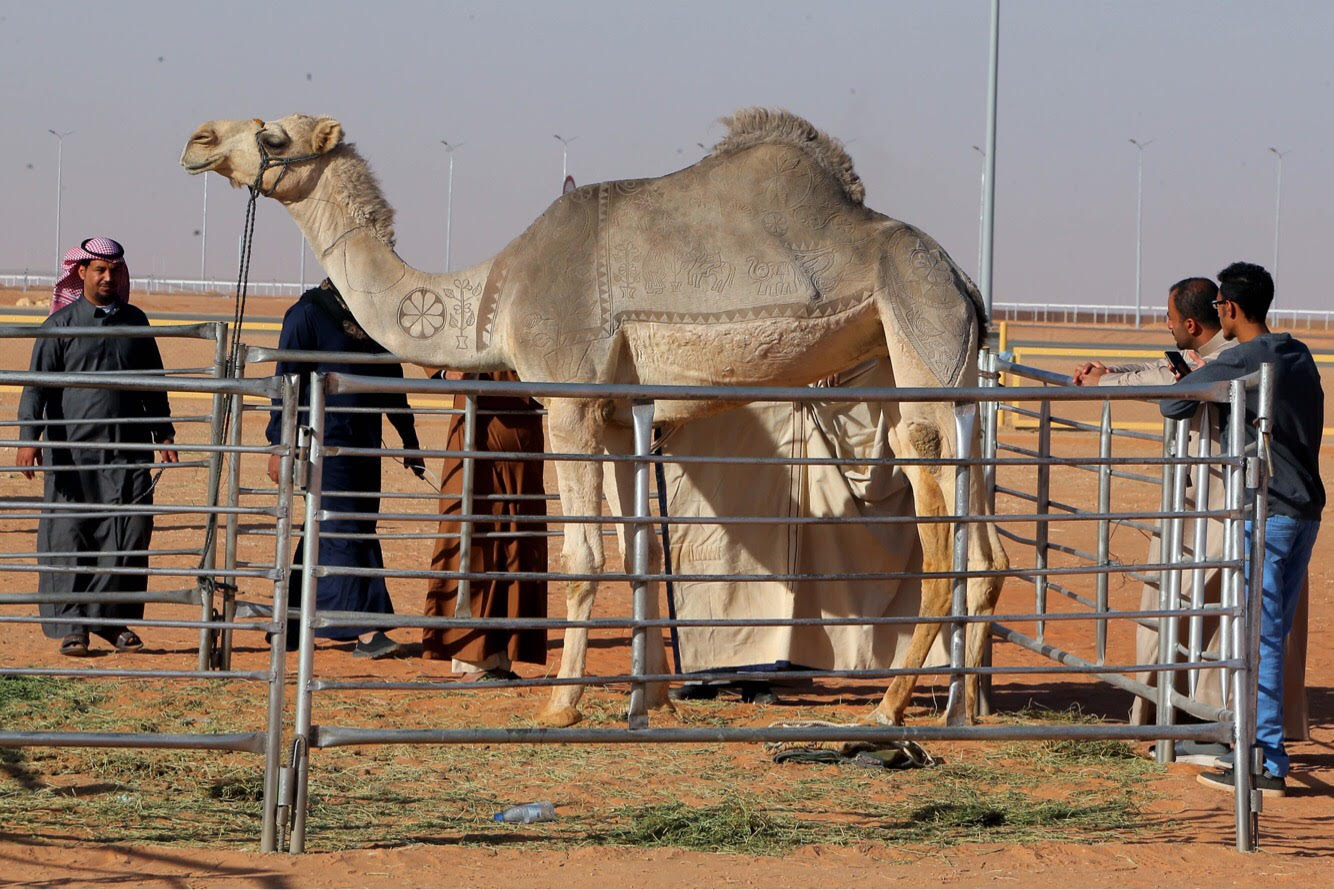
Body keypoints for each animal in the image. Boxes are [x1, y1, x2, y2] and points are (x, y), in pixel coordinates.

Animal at [182, 109, 1003, 731]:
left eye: (273, 135)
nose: (197, 138)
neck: (495, 294)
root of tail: (963, 279)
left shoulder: (570, 401)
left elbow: (585, 557)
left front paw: (562, 704)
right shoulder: (614, 413)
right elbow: (641, 550)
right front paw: (655, 699)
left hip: (920, 326)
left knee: (933, 497)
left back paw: (890, 709)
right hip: (931, 359)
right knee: (986, 541)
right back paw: (968, 707)